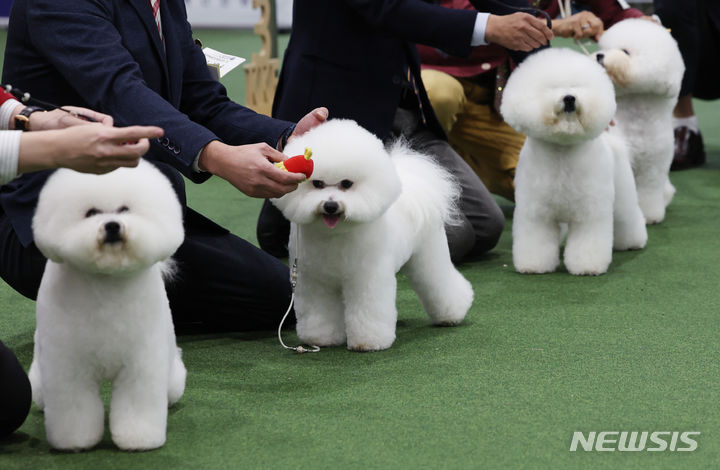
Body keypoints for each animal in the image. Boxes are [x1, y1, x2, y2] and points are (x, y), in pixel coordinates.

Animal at [28, 161, 186, 452]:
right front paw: (75, 442)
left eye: (125, 209)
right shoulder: (68, 364)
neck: (106, 281)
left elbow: (137, 402)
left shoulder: (141, 363)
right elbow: (74, 407)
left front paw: (139, 439)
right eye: (91, 213)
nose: (112, 226)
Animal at [270, 119, 472, 350]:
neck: (335, 236)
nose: (330, 206)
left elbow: (367, 311)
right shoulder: (315, 280)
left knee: (439, 282)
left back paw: (453, 313)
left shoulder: (366, 278)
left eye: (346, 183)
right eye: (317, 183)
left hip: (428, 254)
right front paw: (320, 338)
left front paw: (368, 342)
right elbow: (320, 311)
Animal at [500, 47, 648, 276]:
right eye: (552, 87)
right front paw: (534, 266)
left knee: (628, 217)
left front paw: (587, 267)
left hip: (623, 194)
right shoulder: (536, 213)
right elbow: (536, 241)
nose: (569, 98)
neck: (563, 149)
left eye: (578, 86)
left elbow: (588, 242)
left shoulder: (590, 213)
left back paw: (633, 241)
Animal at [596, 18, 688, 224]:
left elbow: (649, 191)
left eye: (625, 51)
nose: (599, 56)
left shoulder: (653, 165)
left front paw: (650, 216)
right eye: (604, 48)